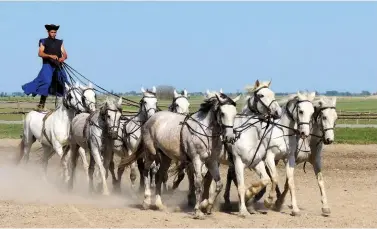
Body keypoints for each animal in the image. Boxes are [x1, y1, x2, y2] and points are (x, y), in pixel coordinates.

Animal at [119, 90, 239, 220]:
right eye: (222, 113)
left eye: (235, 114)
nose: (230, 137)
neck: (205, 132)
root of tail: (150, 119)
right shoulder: (197, 160)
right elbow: (198, 185)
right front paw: (198, 211)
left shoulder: (211, 161)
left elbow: (218, 184)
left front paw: (206, 205)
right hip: (151, 154)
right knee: (146, 172)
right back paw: (146, 201)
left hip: (165, 157)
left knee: (159, 176)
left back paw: (159, 204)